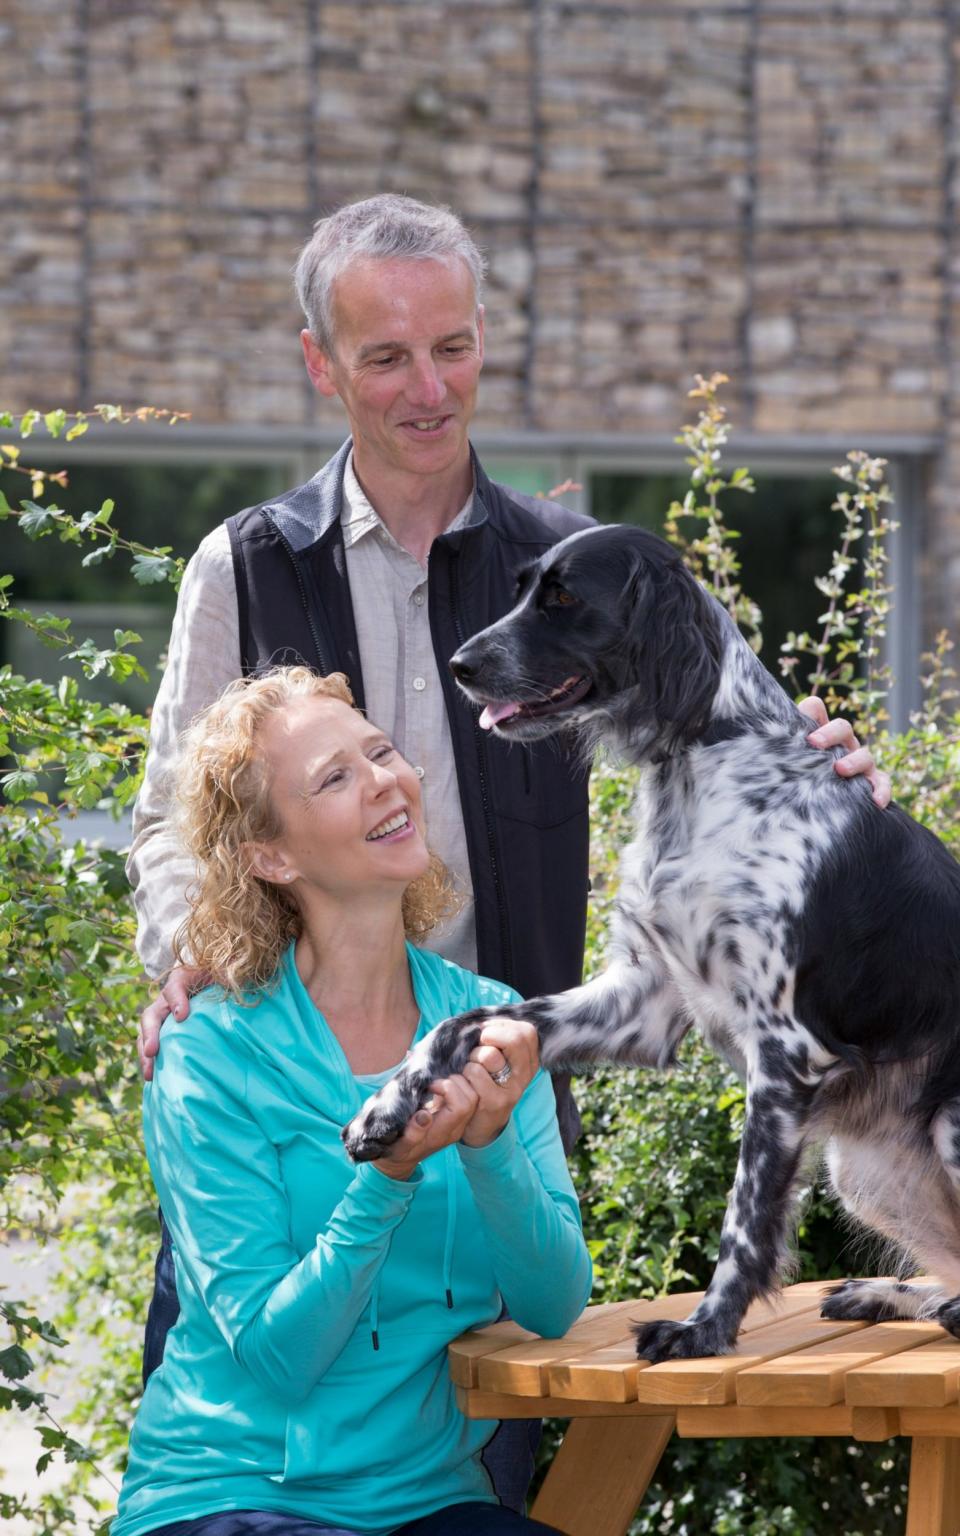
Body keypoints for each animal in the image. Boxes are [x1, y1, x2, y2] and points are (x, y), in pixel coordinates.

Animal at [340, 522, 958, 1363]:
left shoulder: (785, 1050)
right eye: (523, 587)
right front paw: (386, 1108)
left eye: (565, 597)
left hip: (943, 1125)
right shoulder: (644, 1000)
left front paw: (703, 1329)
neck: (704, 760)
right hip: (863, 1170)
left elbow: (744, 1218)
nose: (462, 664)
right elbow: (460, 1023)